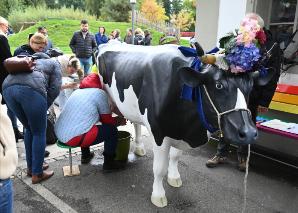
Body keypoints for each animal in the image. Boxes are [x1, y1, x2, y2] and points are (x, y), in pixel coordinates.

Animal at [98, 42, 264, 207]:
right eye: (218, 85)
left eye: (250, 86)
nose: (249, 133)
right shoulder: (159, 134)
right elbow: (159, 169)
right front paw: (158, 195)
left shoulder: (179, 131)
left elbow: (175, 157)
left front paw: (174, 178)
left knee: (136, 124)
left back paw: (139, 148)